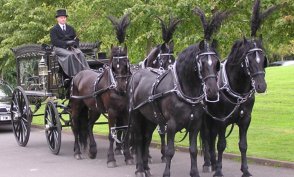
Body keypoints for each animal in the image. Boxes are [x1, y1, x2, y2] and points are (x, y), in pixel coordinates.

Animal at [69, 14, 133, 167]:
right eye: (114, 66)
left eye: (126, 64)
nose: (121, 87)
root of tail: (77, 75)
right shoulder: (112, 112)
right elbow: (111, 135)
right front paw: (111, 159)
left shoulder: (125, 111)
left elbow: (126, 132)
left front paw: (128, 156)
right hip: (76, 106)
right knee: (75, 125)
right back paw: (77, 152)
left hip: (94, 109)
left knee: (88, 125)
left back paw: (92, 150)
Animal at [129, 8, 230, 177]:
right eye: (202, 63)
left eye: (217, 63)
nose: (212, 90)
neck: (185, 92)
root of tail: (136, 74)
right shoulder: (171, 125)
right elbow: (170, 151)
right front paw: (166, 172)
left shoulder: (195, 125)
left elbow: (193, 150)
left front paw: (194, 172)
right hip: (136, 115)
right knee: (138, 139)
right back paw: (140, 169)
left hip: (150, 118)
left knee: (146, 138)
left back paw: (146, 168)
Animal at [201, 0, 280, 176]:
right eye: (248, 59)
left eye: (263, 58)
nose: (261, 86)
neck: (237, 90)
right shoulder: (222, 120)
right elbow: (221, 145)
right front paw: (219, 171)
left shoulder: (245, 120)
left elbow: (243, 145)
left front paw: (245, 170)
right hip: (207, 118)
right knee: (206, 137)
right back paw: (208, 163)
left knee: (211, 138)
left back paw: (212, 162)